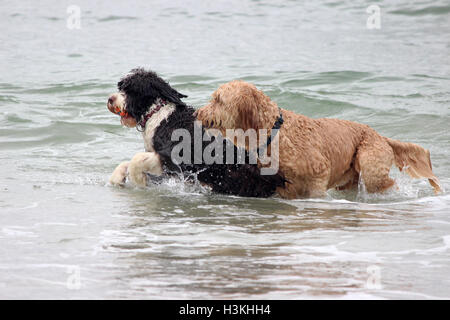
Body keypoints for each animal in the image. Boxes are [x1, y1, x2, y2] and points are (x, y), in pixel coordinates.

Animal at [107, 69, 284, 196]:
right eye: (120, 87)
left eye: (132, 90)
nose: (110, 99)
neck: (158, 114)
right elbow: (127, 163)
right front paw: (117, 178)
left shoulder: (176, 159)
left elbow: (136, 160)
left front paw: (139, 181)